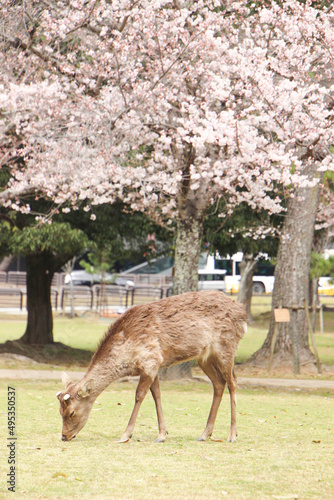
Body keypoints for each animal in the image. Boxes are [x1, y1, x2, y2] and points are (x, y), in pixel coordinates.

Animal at [56, 292, 245, 444]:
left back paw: (232, 435)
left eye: (71, 412)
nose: (64, 436)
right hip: (204, 357)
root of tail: (242, 313)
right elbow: (157, 395)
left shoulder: (150, 361)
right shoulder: (154, 366)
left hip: (226, 346)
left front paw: (126, 435)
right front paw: (162, 434)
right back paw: (205, 434)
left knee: (233, 382)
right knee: (219, 383)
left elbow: (139, 396)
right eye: (59, 411)